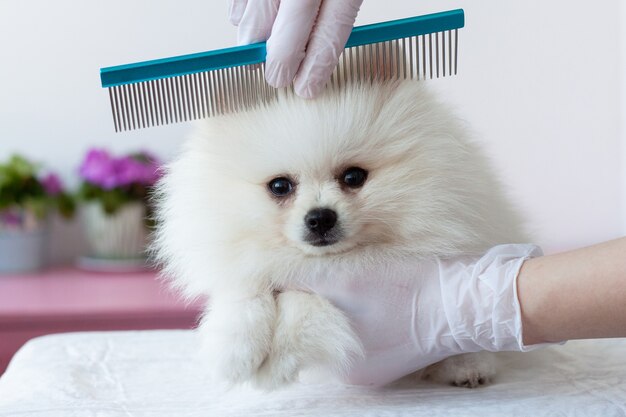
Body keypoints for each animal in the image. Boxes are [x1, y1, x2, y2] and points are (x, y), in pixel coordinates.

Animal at [154, 80, 524, 390]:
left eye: (353, 177)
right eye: (279, 186)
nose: (320, 218)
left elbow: (301, 302)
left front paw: (278, 362)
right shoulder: (246, 256)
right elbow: (247, 288)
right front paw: (236, 349)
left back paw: (468, 366)